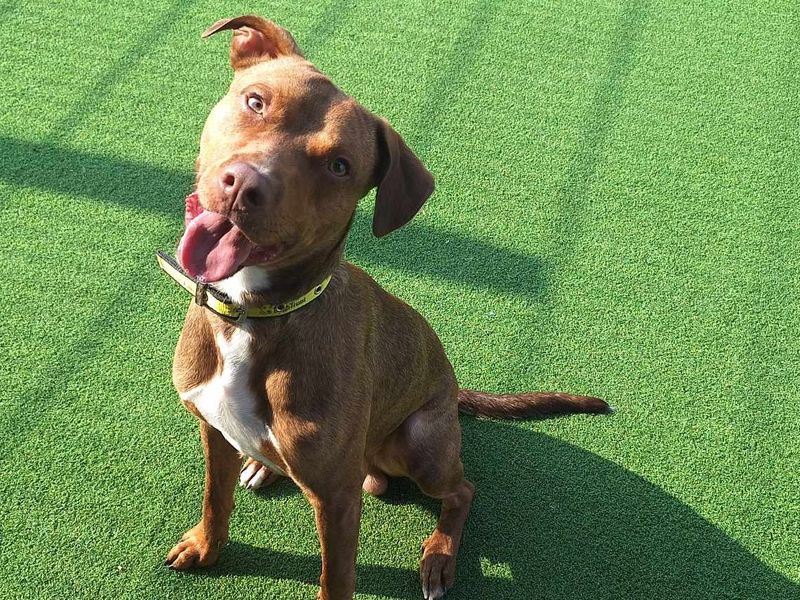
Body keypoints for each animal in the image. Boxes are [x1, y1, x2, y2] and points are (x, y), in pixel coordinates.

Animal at [162, 15, 608, 600]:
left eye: (339, 166)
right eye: (256, 101)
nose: (245, 184)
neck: (254, 315)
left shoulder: (336, 499)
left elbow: (336, 578)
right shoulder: (213, 431)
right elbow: (216, 499)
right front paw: (206, 547)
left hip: (420, 445)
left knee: (463, 490)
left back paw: (438, 558)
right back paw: (264, 468)